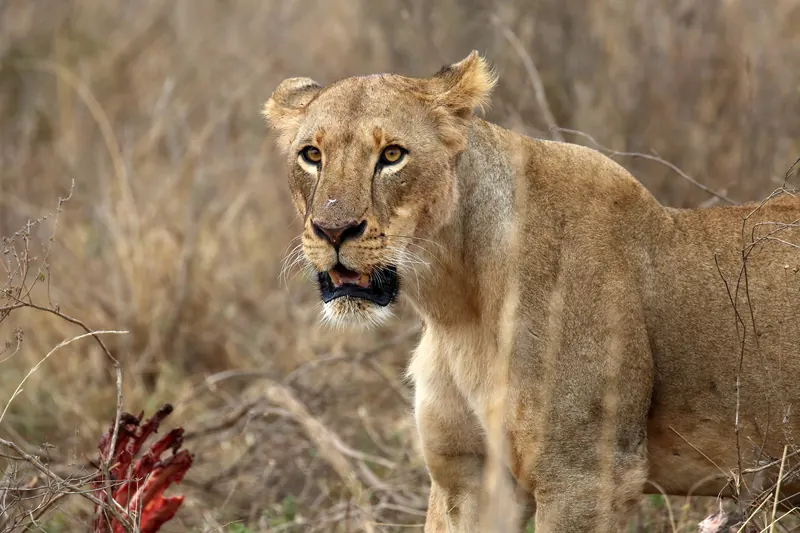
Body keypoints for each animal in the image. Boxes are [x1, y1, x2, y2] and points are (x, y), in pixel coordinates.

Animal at [263, 51, 800, 532]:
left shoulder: (586, 475)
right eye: (312, 156)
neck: (454, 302)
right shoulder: (469, 475)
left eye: (392, 155)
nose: (333, 230)